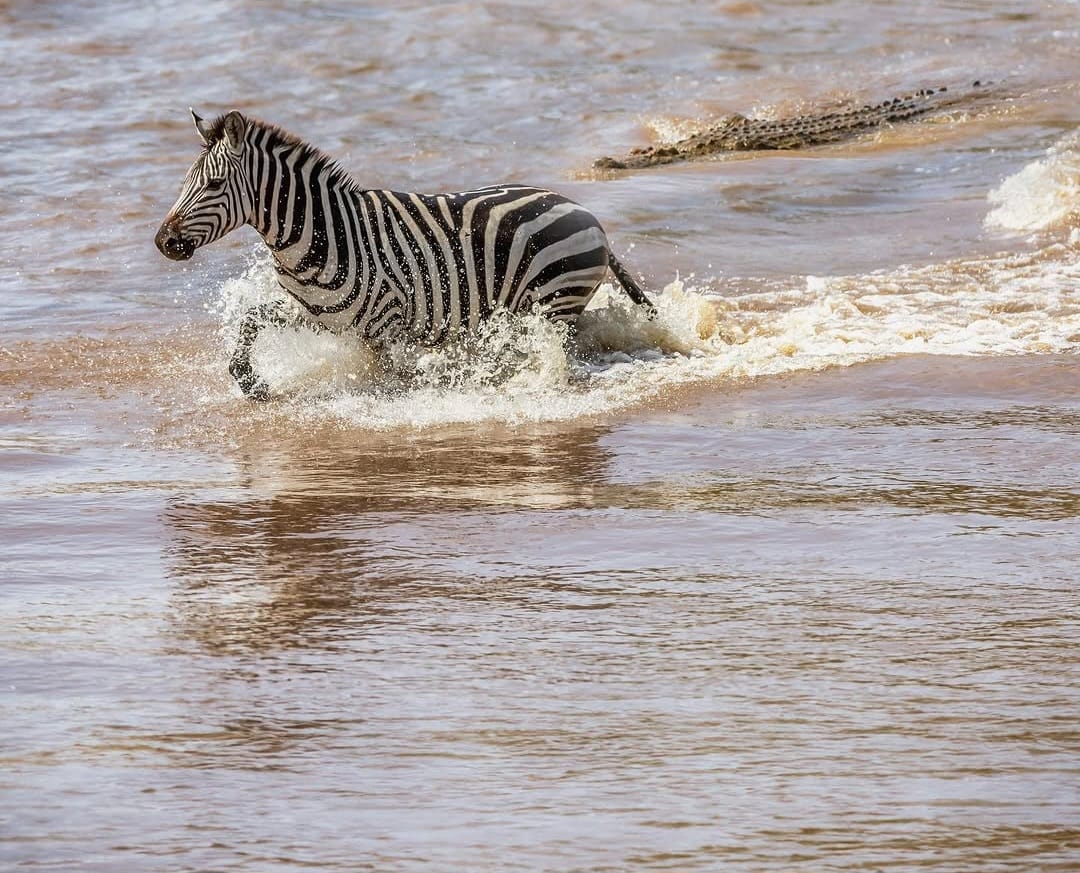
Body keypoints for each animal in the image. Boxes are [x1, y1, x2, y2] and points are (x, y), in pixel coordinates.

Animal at [155, 109, 655, 400]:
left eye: (214, 184)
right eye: (185, 181)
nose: (163, 242)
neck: (324, 235)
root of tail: (583, 210)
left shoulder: (387, 324)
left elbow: (393, 381)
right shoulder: (316, 313)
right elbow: (251, 319)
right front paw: (250, 382)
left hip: (554, 302)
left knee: (556, 352)